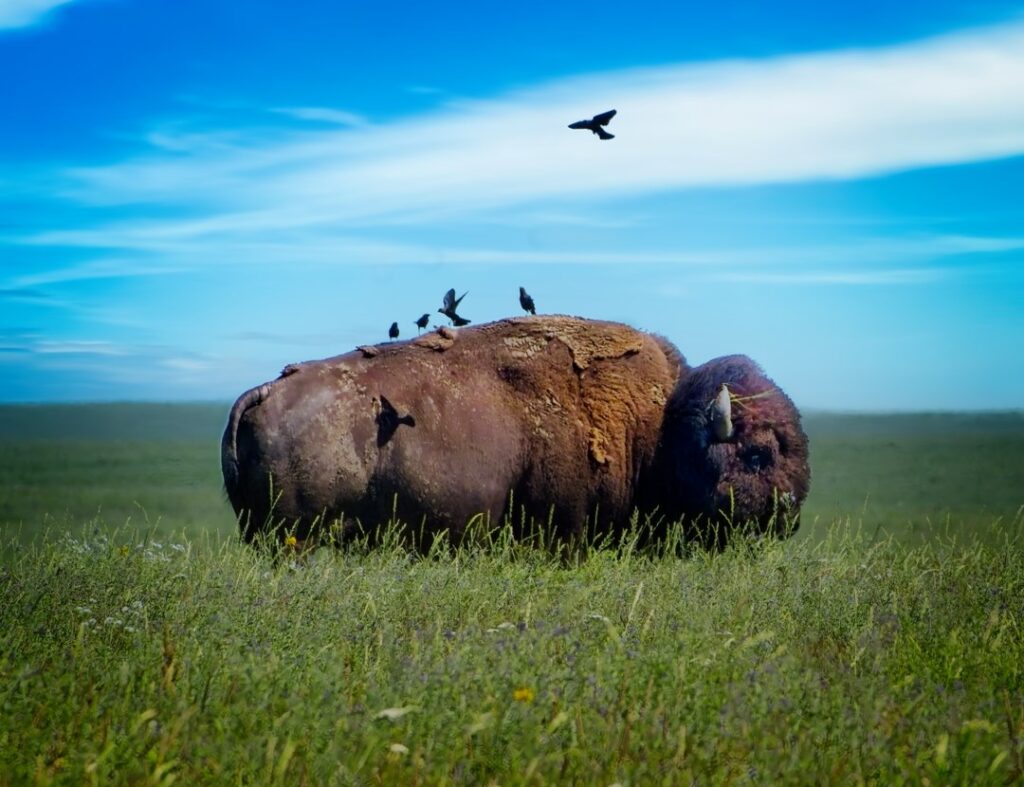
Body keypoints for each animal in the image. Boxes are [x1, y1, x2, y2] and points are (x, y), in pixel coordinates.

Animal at [222, 315, 806, 548]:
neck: (656, 427)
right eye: (757, 455)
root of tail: (266, 391)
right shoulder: (563, 526)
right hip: (295, 538)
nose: (789, 516)